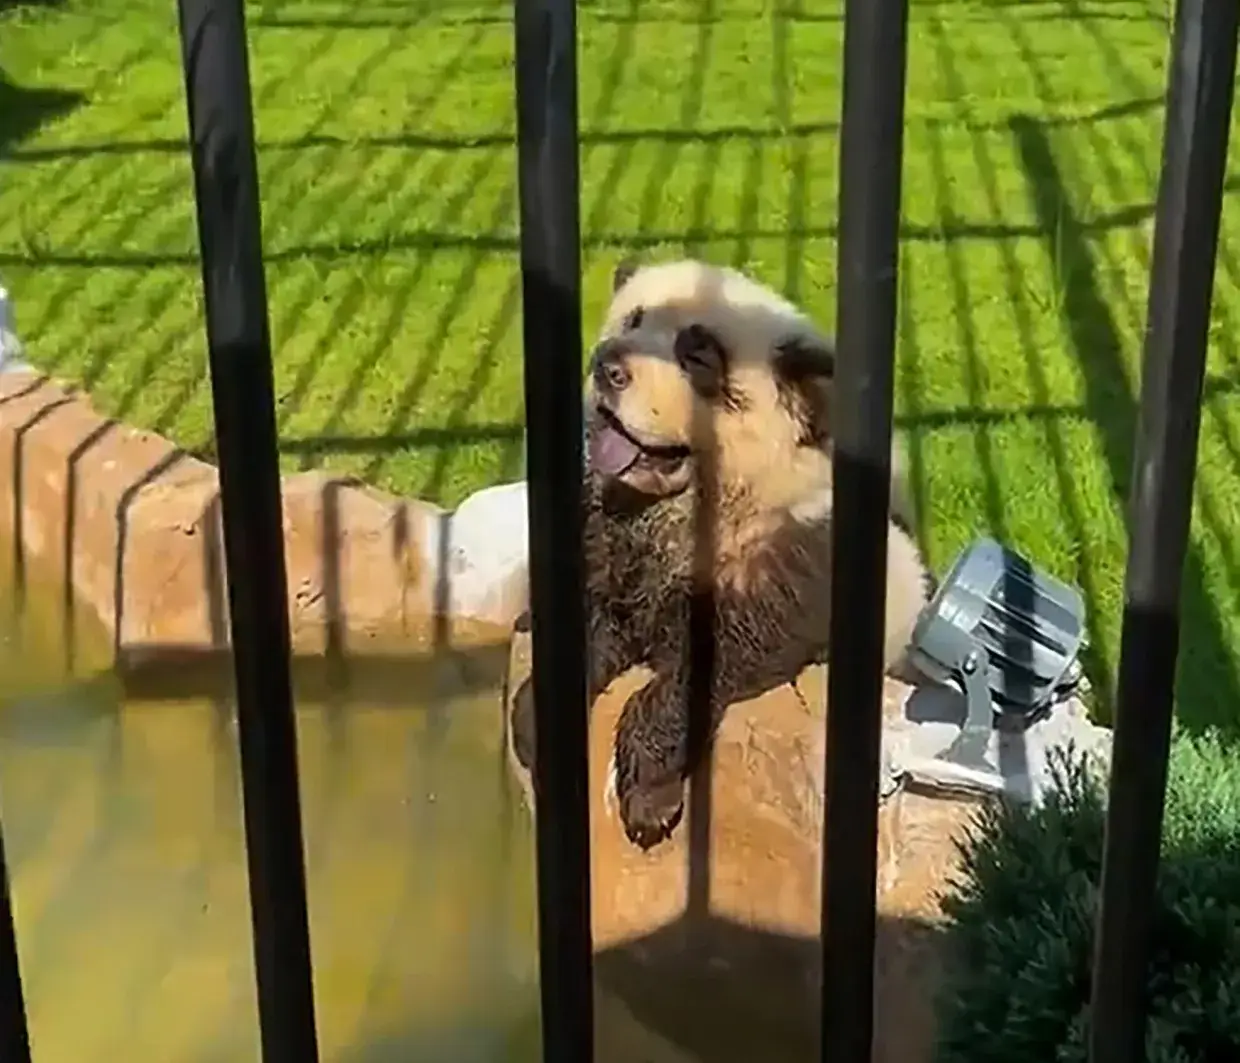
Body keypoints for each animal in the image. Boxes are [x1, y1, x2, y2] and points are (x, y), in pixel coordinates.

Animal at [509, 257, 933, 851]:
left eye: (698, 356)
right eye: (633, 320)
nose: (607, 367)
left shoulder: (791, 558)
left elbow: (711, 661)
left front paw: (649, 800)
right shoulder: (609, 544)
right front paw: (537, 726)